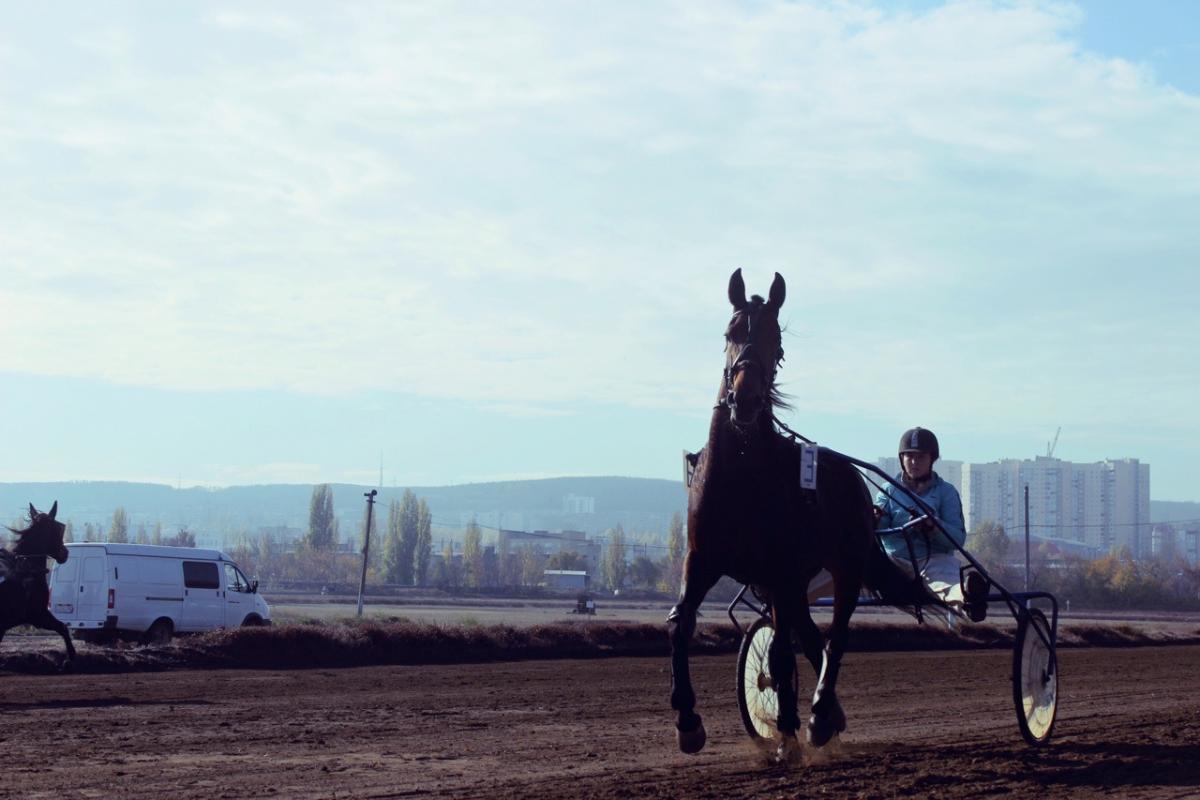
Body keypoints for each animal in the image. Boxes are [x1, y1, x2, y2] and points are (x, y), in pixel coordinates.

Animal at [0, 506, 76, 671]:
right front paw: (70, 659)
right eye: (57, 529)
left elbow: (62, 628)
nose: (65, 553)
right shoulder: (38, 615)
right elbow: (62, 627)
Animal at [667, 268, 873, 758]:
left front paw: (788, 731)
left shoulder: (780, 570)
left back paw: (818, 715)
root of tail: (852, 474)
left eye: (775, 339)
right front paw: (688, 721)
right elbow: (681, 624)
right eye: (731, 332)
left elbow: (780, 654)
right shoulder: (702, 560)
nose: (744, 398)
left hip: (846, 566)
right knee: (810, 635)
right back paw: (826, 715)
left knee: (834, 636)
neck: (741, 475)